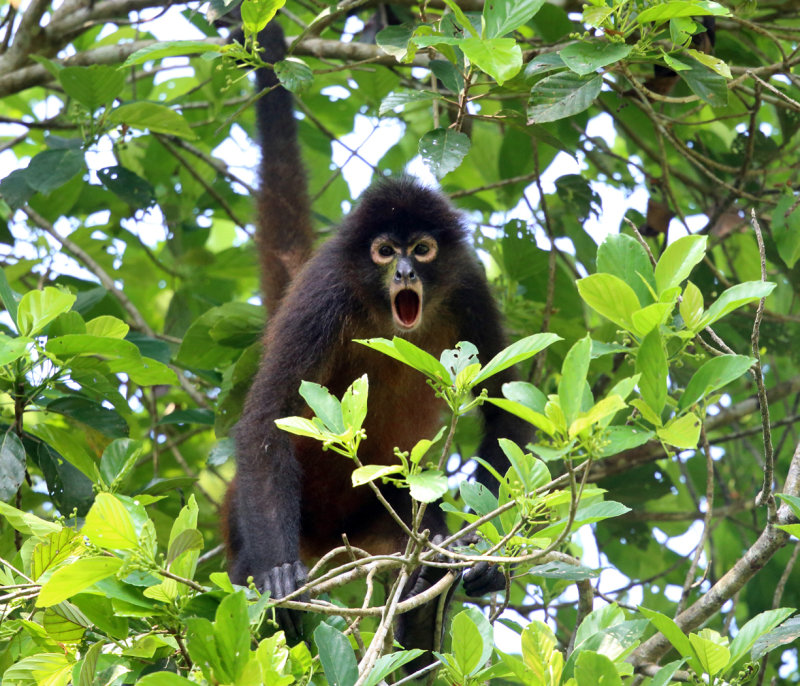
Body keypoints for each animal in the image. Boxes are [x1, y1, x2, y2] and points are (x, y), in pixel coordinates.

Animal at [223, 20, 532, 656]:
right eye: (385, 251)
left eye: (423, 248)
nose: (406, 273)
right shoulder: (326, 293)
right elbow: (265, 420)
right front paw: (277, 578)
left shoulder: (467, 284)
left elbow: (504, 411)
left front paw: (484, 560)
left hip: (379, 515)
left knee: (421, 564)